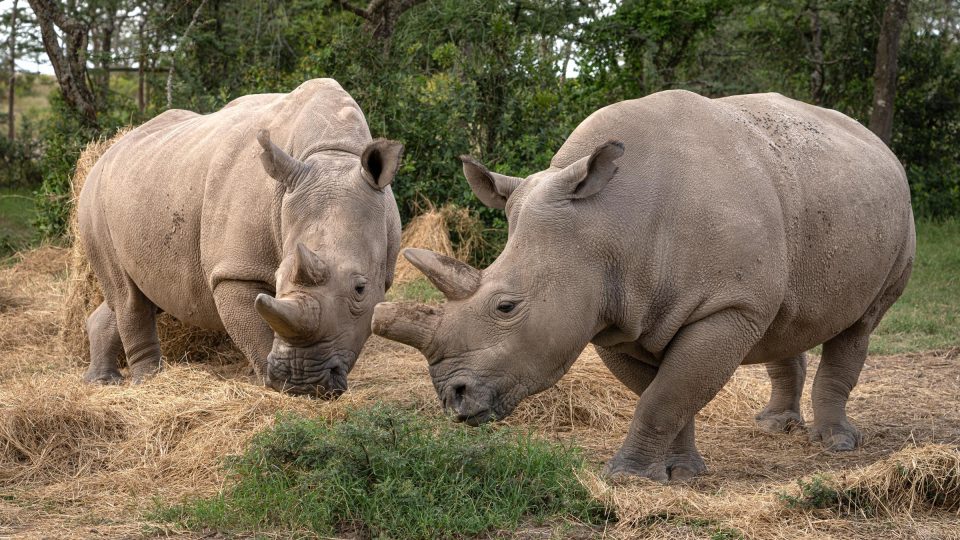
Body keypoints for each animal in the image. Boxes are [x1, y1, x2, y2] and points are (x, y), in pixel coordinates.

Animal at [78, 78, 402, 396]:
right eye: (277, 278)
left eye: (361, 289)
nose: (303, 382)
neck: (333, 154)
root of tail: (102, 155)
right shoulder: (234, 272)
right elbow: (256, 332)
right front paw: (274, 387)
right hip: (94, 199)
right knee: (129, 298)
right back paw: (148, 383)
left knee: (139, 294)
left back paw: (101, 381)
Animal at [374, 90, 916, 484]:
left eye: (506, 307)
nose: (454, 398)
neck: (605, 222)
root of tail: (877, 143)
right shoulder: (614, 315)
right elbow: (664, 394)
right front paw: (680, 473)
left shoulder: (727, 307)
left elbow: (667, 395)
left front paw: (627, 478)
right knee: (785, 317)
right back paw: (773, 426)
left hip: (897, 212)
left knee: (861, 324)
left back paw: (835, 444)